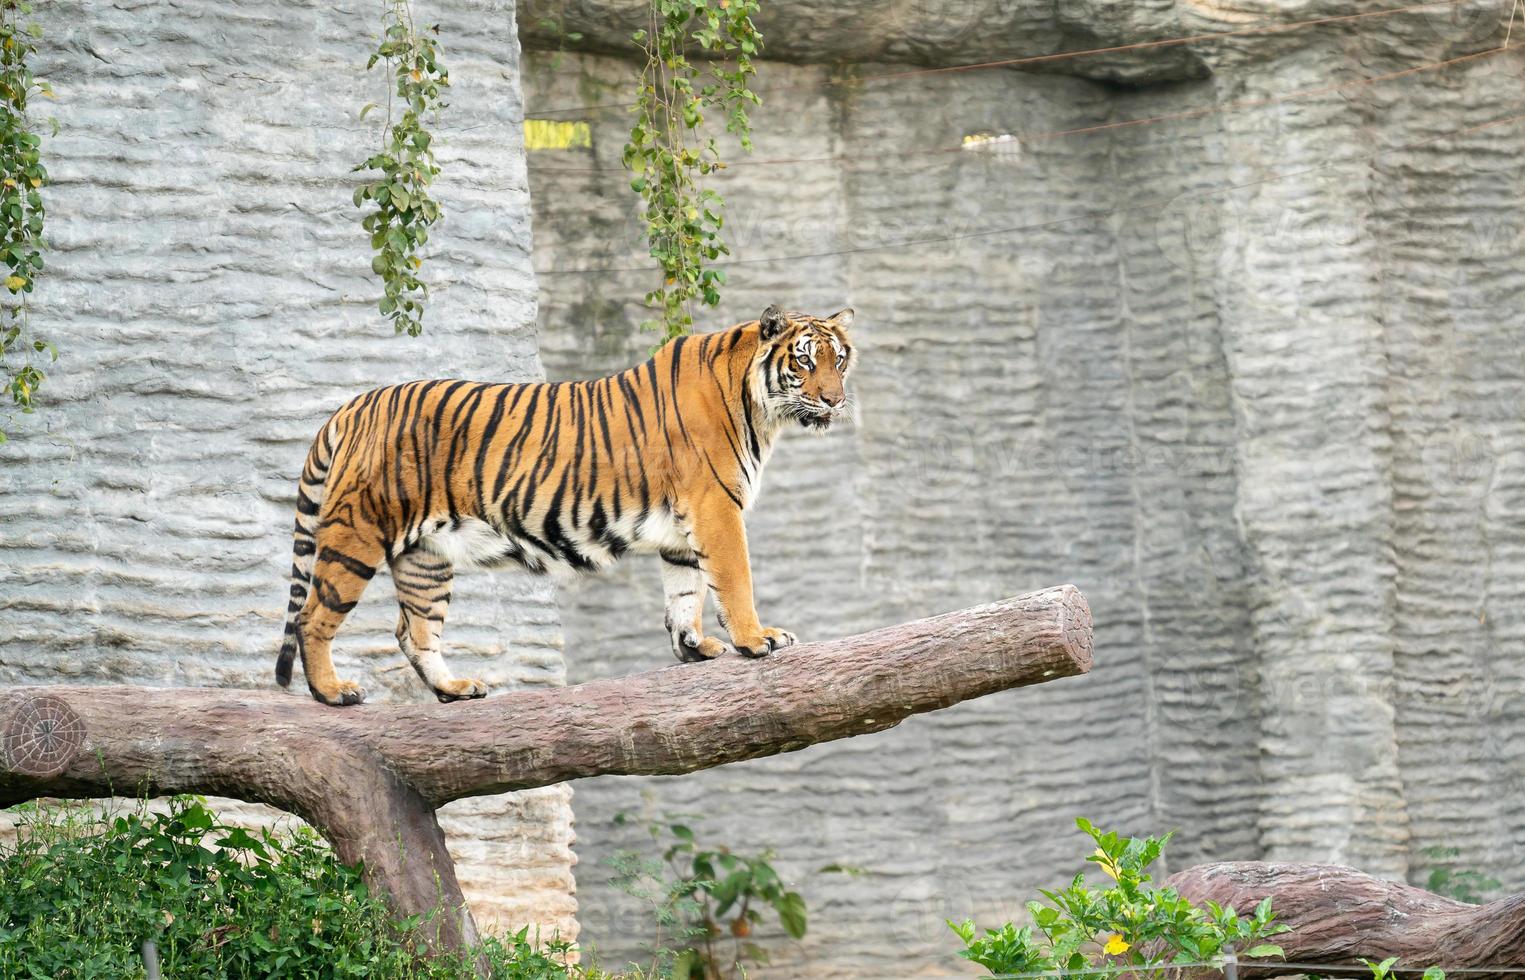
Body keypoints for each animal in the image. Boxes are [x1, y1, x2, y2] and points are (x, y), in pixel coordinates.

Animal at [277, 306, 860, 704]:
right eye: (804, 361)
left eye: (839, 360)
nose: (834, 400)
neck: (759, 409)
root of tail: (352, 406)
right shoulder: (716, 509)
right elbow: (734, 581)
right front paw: (756, 639)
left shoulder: (685, 529)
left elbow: (685, 592)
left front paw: (695, 647)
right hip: (358, 533)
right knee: (313, 617)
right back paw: (333, 692)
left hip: (427, 555)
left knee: (413, 631)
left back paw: (455, 688)